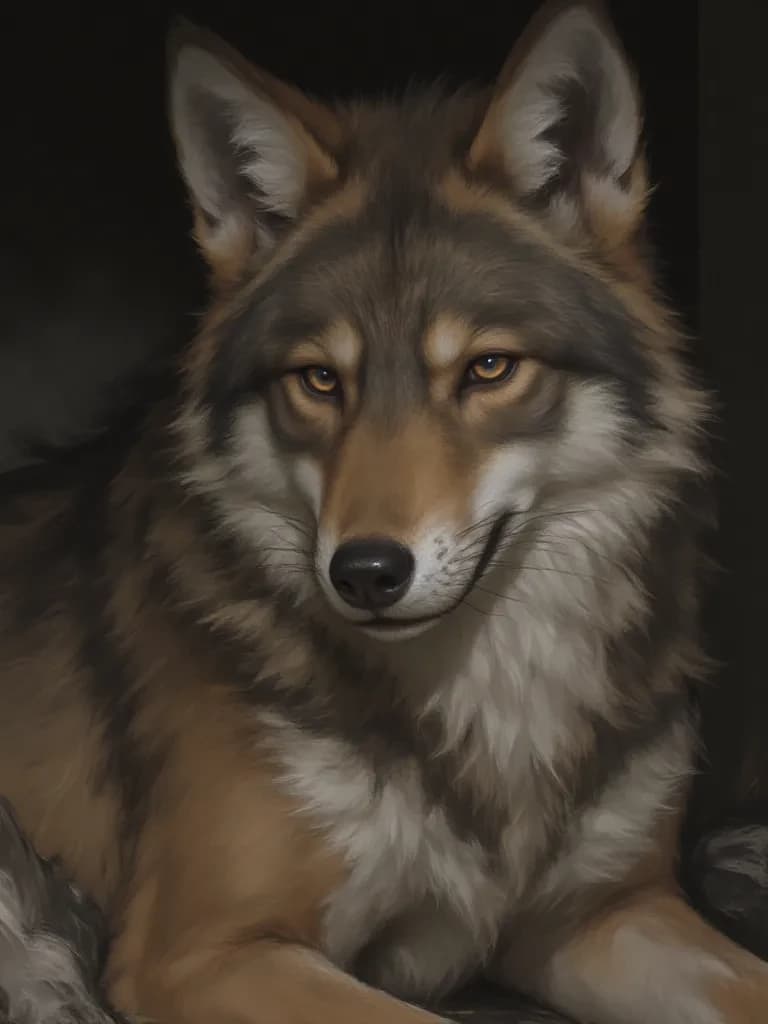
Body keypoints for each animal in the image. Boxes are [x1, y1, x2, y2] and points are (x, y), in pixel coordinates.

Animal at [1, 2, 766, 1022]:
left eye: (488, 369)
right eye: (320, 381)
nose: (364, 572)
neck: (489, 706)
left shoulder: (602, 914)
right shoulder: (197, 951)